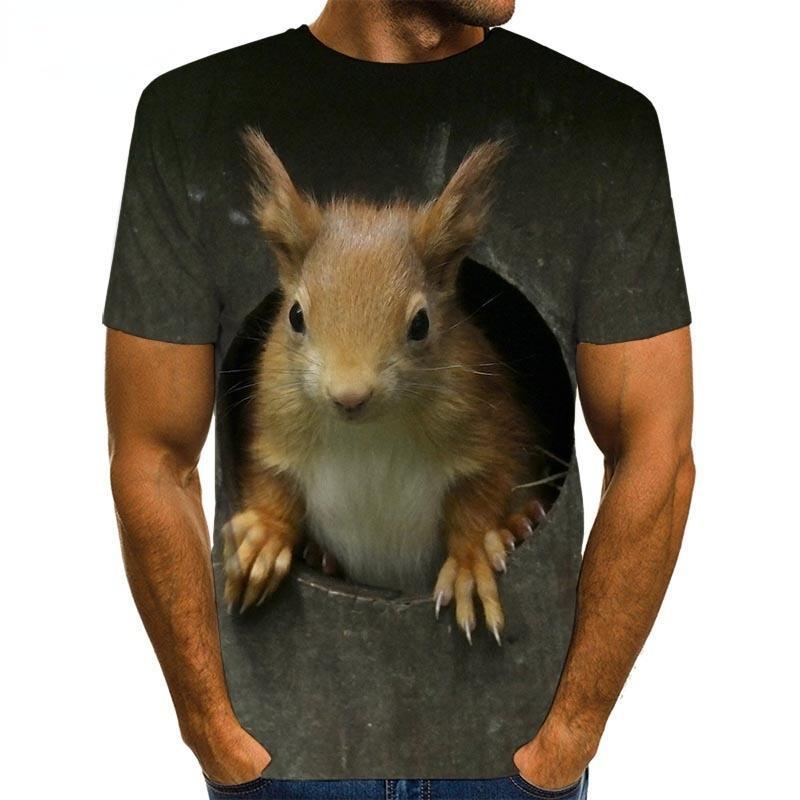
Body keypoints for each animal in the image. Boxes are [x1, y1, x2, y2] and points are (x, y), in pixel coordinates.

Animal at [222, 127, 546, 644]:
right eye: (295, 315)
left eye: (421, 324)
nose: (349, 395)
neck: (368, 434)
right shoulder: (274, 425)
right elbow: (270, 481)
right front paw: (264, 536)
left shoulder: (487, 424)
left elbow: (486, 490)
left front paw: (472, 559)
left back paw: (523, 521)